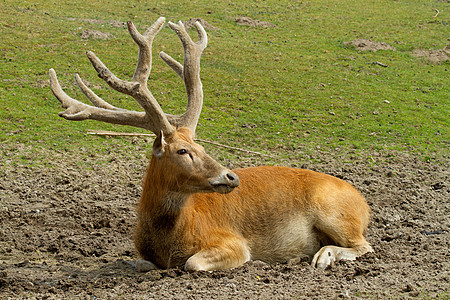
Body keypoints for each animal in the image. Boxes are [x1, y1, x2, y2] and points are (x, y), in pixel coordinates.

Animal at [48, 17, 372, 272]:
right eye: (183, 150)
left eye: (201, 146)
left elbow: (193, 263)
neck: (169, 241)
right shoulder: (143, 254)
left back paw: (323, 256)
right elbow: (139, 263)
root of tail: (363, 202)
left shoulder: (233, 242)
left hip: (333, 212)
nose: (231, 177)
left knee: (365, 245)